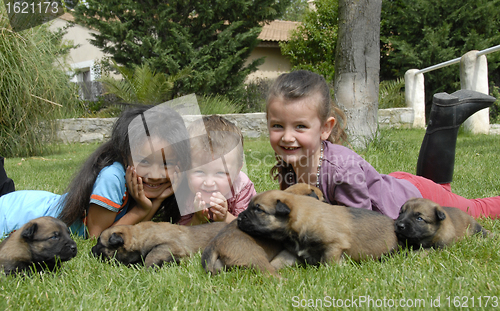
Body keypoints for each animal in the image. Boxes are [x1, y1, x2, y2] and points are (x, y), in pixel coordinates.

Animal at [237, 190, 398, 266]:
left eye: (258, 209)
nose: (238, 218)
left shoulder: (334, 245)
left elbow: (329, 263)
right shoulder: (292, 252)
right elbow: (278, 261)